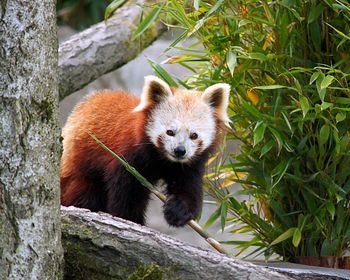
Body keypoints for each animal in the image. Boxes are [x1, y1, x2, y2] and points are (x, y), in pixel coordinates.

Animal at [60, 75, 230, 226]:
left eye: (194, 135)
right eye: (170, 132)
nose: (180, 150)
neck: (163, 159)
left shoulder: (188, 166)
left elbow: (188, 188)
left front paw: (178, 210)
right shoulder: (128, 157)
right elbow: (128, 194)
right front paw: (131, 219)